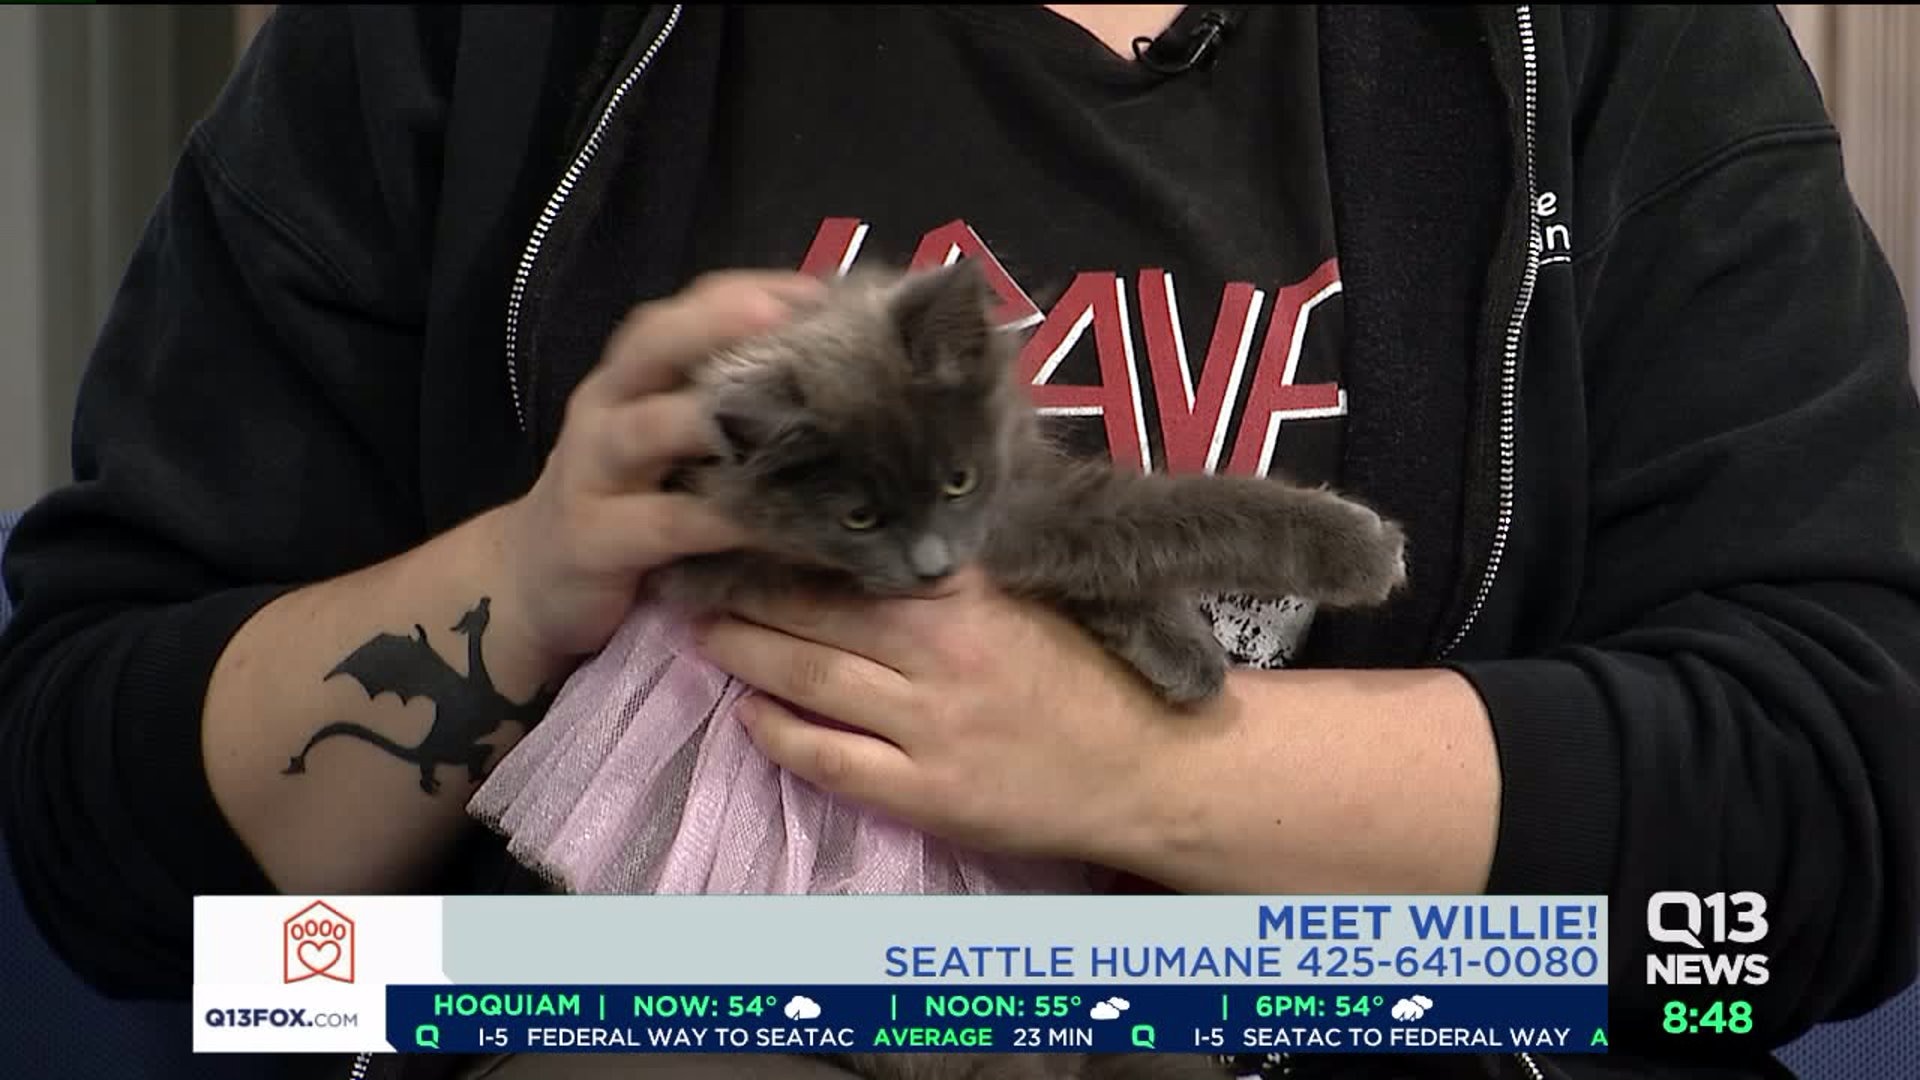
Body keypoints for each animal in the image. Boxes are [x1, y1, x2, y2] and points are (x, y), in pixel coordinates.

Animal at [651, 258, 1407, 707]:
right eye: (858, 520)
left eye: (958, 480)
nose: (931, 569)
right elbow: (1152, 524)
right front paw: (1356, 550)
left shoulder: (1011, 497)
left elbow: (1157, 525)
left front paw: (1178, 645)